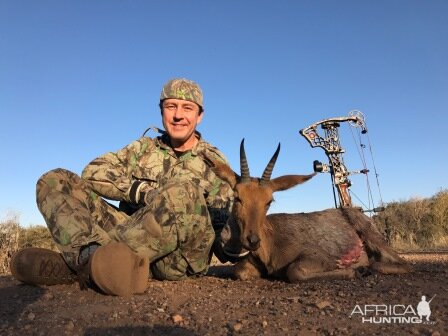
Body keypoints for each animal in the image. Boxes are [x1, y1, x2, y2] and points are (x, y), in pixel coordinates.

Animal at [206, 140, 410, 282]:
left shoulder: (315, 256)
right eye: (238, 197)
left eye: (269, 201)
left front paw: (353, 269)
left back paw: (364, 268)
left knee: (401, 264)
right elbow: (240, 272)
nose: (253, 240)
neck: (270, 244)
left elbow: (294, 271)